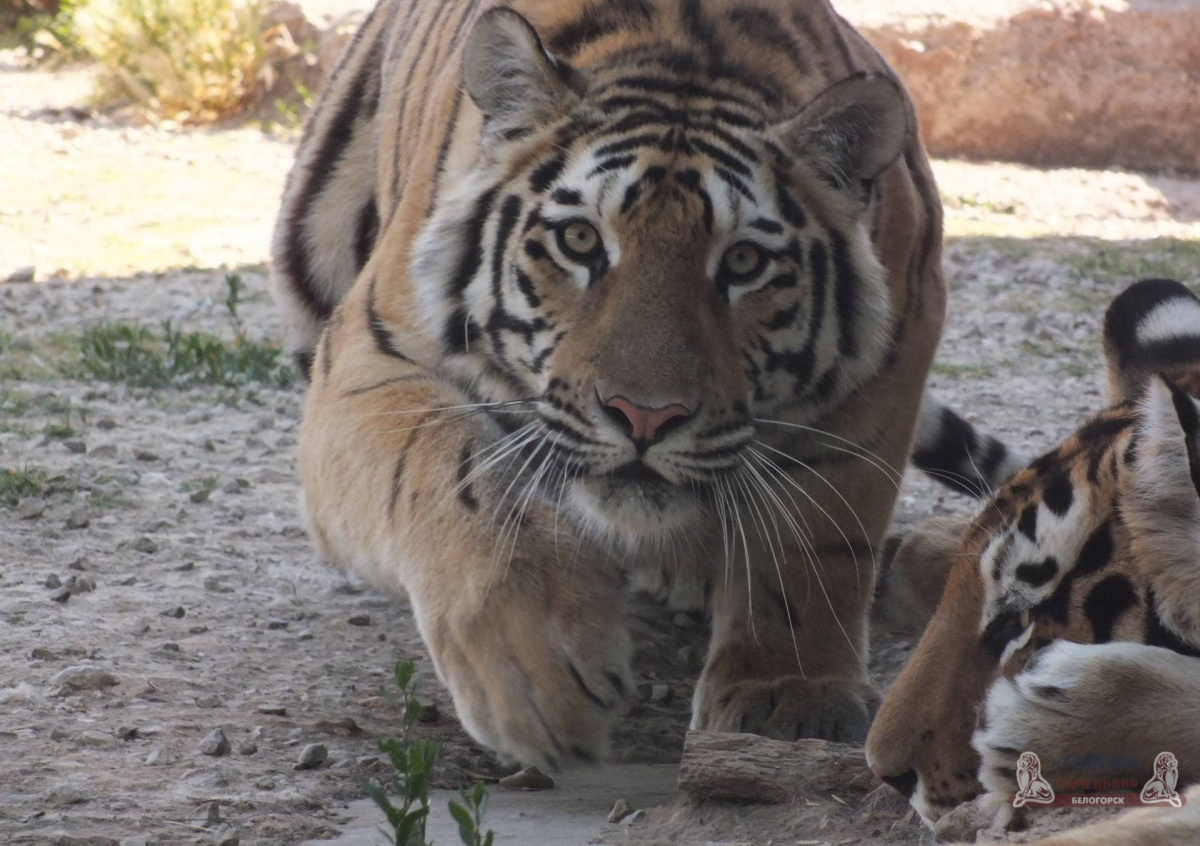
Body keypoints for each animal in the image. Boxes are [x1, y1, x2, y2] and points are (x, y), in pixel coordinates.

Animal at [270, 0, 978, 769]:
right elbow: (452, 476)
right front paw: (539, 664)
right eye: (579, 241)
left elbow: (816, 536)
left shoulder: (895, 340)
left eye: (744, 262)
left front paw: (789, 695)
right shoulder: (369, 361)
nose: (644, 417)